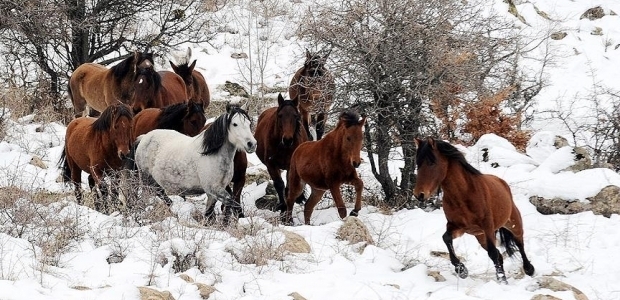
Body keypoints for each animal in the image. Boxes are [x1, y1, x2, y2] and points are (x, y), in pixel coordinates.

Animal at [412, 138, 532, 284]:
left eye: (431, 162)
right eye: (418, 164)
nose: (419, 195)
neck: (463, 195)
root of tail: (502, 182)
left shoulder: (487, 226)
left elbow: (493, 253)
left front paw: (501, 280)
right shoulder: (458, 227)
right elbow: (446, 238)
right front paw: (461, 270)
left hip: (512, 223)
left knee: (519, 243)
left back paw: (529, 270)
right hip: (480, 236)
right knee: (499, 254)